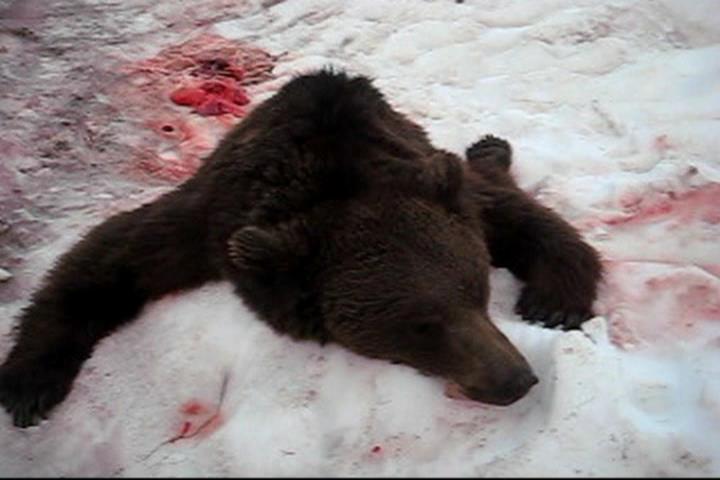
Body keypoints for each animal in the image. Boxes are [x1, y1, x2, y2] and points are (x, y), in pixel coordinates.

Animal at [0, 70, 602, 428]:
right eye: (422, 324)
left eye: (476, 291)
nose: (515, 379)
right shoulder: (211, 217)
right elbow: (109, 256)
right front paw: (28, 384)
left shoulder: (416, 175)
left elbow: (516, 216)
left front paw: (554, 300)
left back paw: (490, 147)